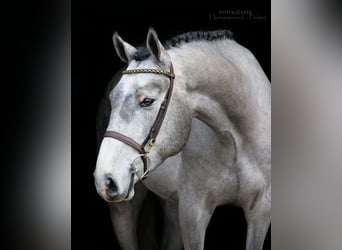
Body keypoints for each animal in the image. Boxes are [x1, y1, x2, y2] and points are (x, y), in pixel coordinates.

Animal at [93, 28, 270, 249]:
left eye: (147, 101)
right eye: (112, 99)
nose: (105, 180)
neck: (236, 141)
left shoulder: (261, 212)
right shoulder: (193, 213)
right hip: (125, 209)